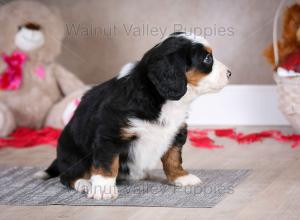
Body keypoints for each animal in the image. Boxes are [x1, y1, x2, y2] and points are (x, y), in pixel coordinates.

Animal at [35, 32, 232, 199]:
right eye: (207, 58)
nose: (230, 73)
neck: (160, 98)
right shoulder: (109, 134)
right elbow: (107, 164)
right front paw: (104, 188)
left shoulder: (176, 132)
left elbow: (173, 158)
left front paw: (181, 177)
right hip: (74, 155)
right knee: (67, 176)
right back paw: (84, 183)